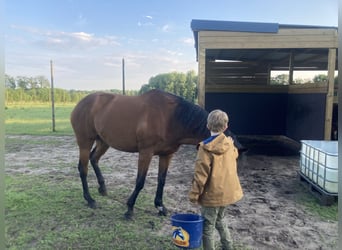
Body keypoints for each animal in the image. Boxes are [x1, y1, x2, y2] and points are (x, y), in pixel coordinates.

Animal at [71, 89, 244, 219]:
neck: (170, 118)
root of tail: (81, 103)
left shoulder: (167, 155)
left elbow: (162, 180)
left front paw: (160, 207)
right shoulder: (145, 153)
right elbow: (140, 181)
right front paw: (129, 209)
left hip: (103, 141)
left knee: (94, 159)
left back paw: (102, 188)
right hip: (85, 142)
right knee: (83, 169)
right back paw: (90, 199)